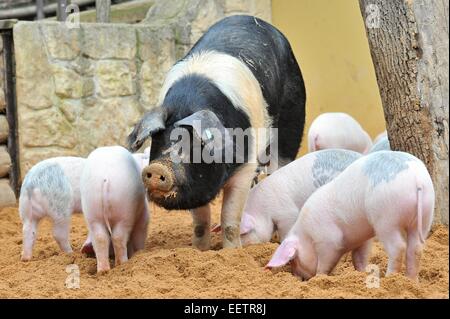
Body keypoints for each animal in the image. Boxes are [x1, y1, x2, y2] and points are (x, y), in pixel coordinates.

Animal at [128, 15, 308, 251]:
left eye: (195, 144)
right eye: (158, 139)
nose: (158, 168)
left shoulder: (246, 162)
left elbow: (229, 217)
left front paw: (232, 252)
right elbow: (200, 221)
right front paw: (200, 250)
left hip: (292, 116)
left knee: (280, 166)